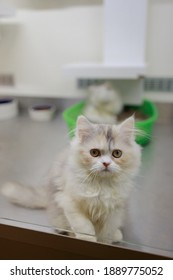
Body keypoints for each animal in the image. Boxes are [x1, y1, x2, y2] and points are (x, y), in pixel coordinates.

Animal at [1, 115, 141, 244]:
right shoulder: (69, 202)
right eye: (94, 153)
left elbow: (106, 232)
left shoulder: (114, 211)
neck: (101, 185)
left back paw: (117, 235)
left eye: (117, 154)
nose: (106, 163)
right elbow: (85, 227)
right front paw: (88, 240)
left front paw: (103, 242)